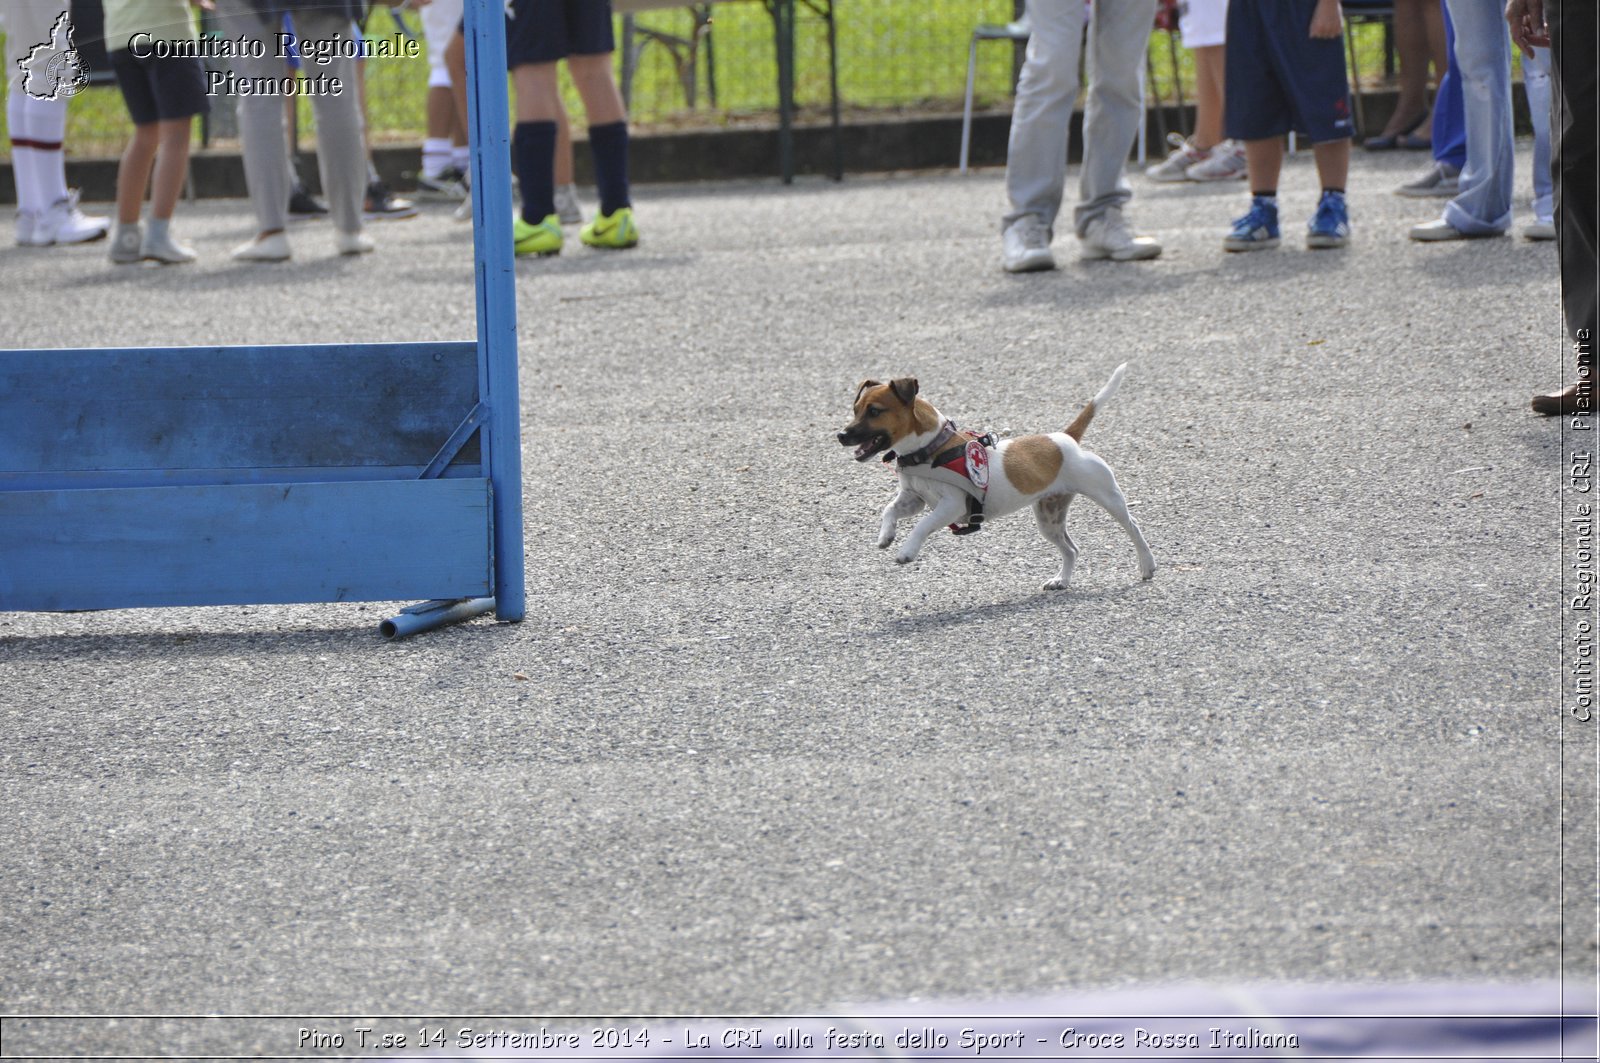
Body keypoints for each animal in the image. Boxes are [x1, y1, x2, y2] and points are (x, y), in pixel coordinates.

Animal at [832, 365, 1158, 589]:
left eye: (875, 411)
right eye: (855, 409)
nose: (841, 435)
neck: (931, 449)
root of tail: (1065, 438)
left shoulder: (951, 506)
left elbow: (922, 526)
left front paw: (906, 551)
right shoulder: (913, 499)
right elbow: (889, 510)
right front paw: (886, 536)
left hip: (1107, 496)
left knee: (1134, 527)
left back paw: (1147, 565)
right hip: (1049, 518)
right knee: (1071, 549)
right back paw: (1061, 580)